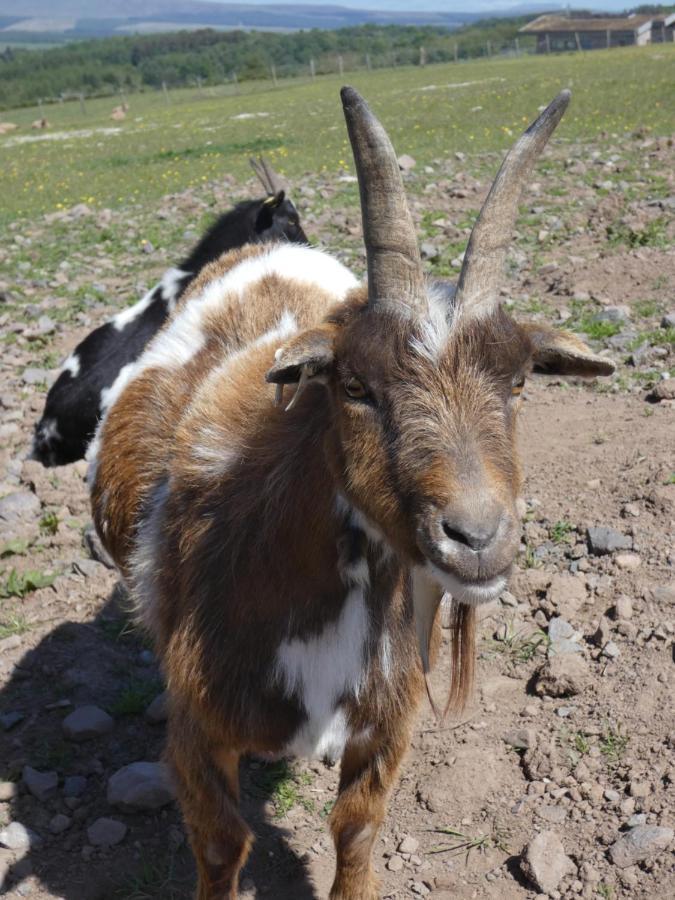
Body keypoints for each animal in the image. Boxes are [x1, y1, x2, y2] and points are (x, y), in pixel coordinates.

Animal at [88, 86, 612, 900]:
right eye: (355, 385)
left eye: (522, 381)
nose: (476, 538)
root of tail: (269, 249)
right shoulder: (197, 728)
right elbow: (222, 844)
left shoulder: (391, 713)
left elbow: (357, 829)